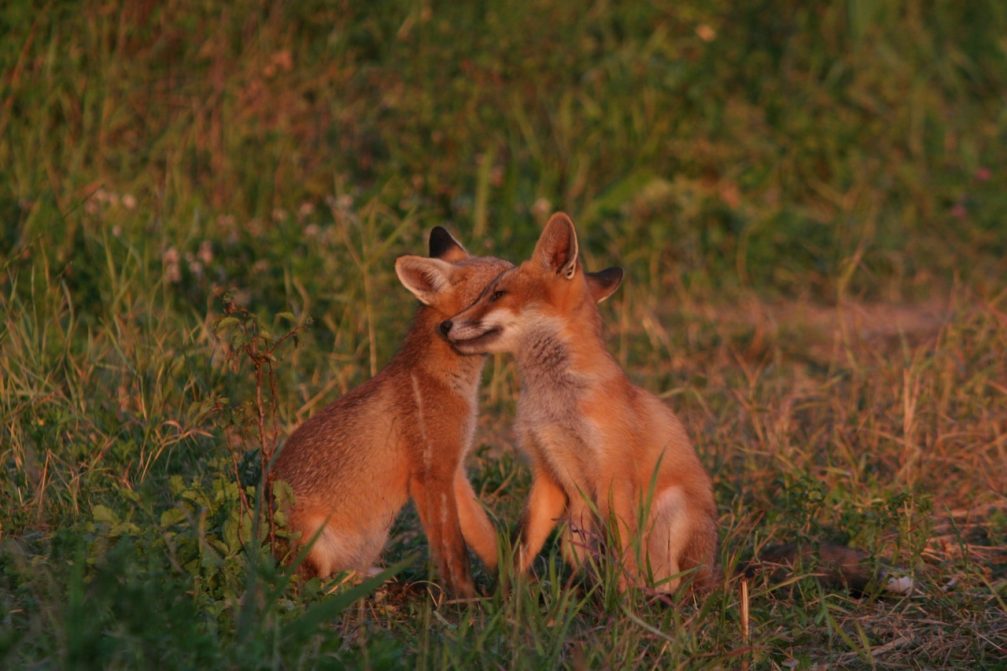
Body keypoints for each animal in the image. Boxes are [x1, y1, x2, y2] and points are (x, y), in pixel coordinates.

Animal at [271, 227, 511, 592]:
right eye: (496, 289)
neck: (442, 381)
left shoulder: (453, 468)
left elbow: (484, 536)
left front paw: (515, 584)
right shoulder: (429, 475)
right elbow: (454, 553)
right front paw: (465, 599)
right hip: (313, 545)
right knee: (315, 586)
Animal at [445, 210, 721, 592]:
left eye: (498, 294)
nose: (445, 325)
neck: (555, 401)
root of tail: (714, 573)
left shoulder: (613, 474)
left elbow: (625, 557)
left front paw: (624, 604)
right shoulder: (547, 472)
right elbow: (522, 547)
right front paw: (509, 597)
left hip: (671, 508)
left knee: (665, 581)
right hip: (572, 538)